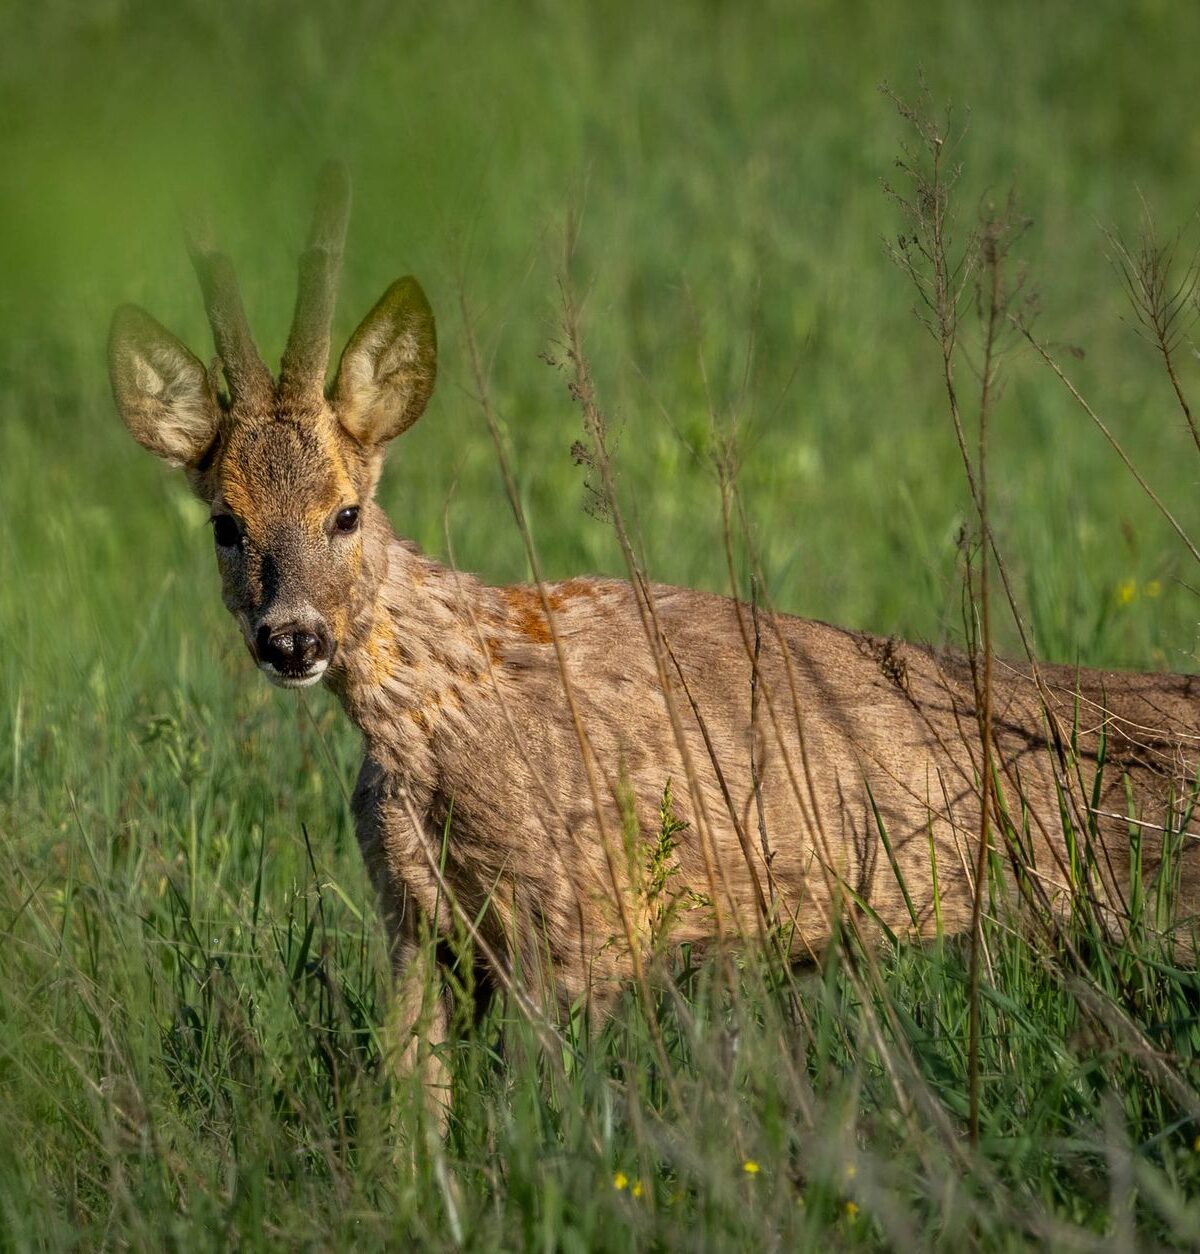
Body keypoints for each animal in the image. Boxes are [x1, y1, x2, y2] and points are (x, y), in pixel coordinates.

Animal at [109, 167, 1200, 1124]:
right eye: (225, 523)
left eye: (346, 511)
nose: (292, 639)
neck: (443, 720)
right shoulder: (415, 922)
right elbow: (411, 1120)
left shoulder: (578, 922)